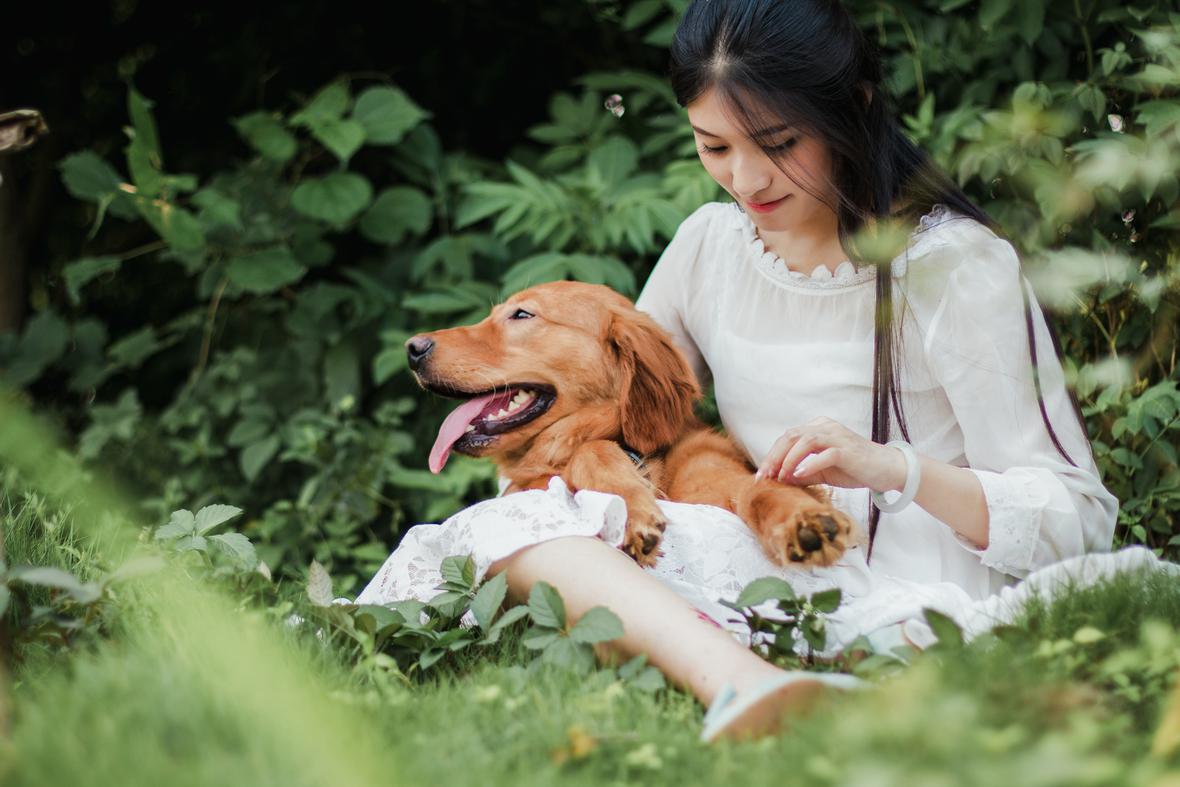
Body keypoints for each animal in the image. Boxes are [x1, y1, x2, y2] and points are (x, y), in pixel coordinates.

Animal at [405, 280, 853, 569]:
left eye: (522, 314)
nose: (413, 348)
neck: (633, 450)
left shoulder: (719, 479)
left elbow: (758, 490)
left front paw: (803, 521)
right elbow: (590, 453)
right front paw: (630, 510)